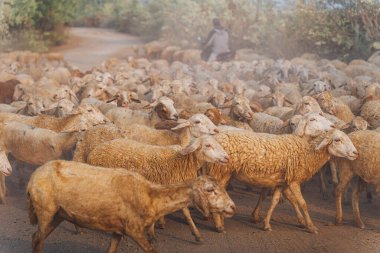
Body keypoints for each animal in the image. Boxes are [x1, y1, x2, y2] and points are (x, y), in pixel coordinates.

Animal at [27, 160, 235, 253]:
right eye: (210, 189)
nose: (233, 207)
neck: (152, 198)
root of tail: (32, 179)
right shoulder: (134, 229)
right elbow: (152, 251)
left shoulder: (117, 230)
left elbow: (111, 250)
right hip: (45, 208)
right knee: (38, 238)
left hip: (58, 213)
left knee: (36, 237)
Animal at [86, 135, 229, 242]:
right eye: (208, 145)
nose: (227, 157)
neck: (181, 161)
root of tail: (95, 150)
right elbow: (185, 212)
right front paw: (152, 234)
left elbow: (185, 213)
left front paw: (196, 234)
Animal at [205, 128, 356, 233]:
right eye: (337, 140)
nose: (355, 153)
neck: (307, 152)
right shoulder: (294, 181)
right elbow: (303, 203)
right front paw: (311, 227)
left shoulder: (281, 182)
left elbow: (275, 201)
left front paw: (266, 224)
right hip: (221, 171)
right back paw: (219, 225)